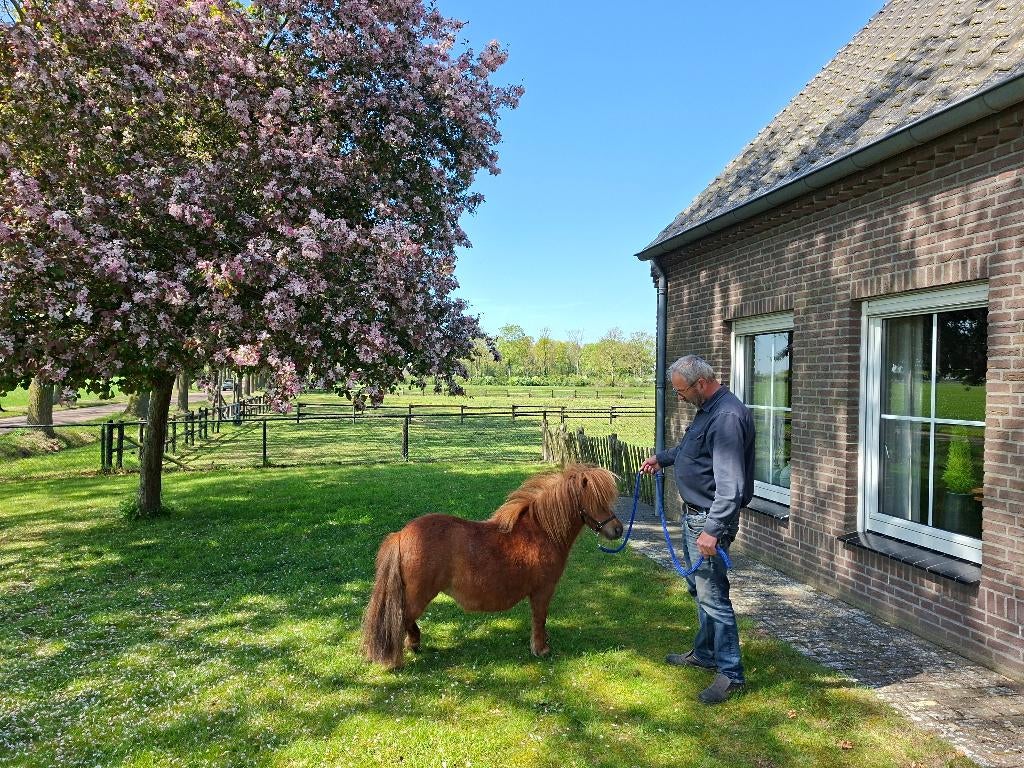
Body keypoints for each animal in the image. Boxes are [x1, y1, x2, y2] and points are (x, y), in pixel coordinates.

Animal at [361, 463, 623, 669]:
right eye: (597, 501)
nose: (618, 530)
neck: (540, 532)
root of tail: (400, 534)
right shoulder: (542, 591)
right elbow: (540, 618)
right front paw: (541, 648)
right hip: (418, 595)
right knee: (400, 619)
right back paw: (404, 651)